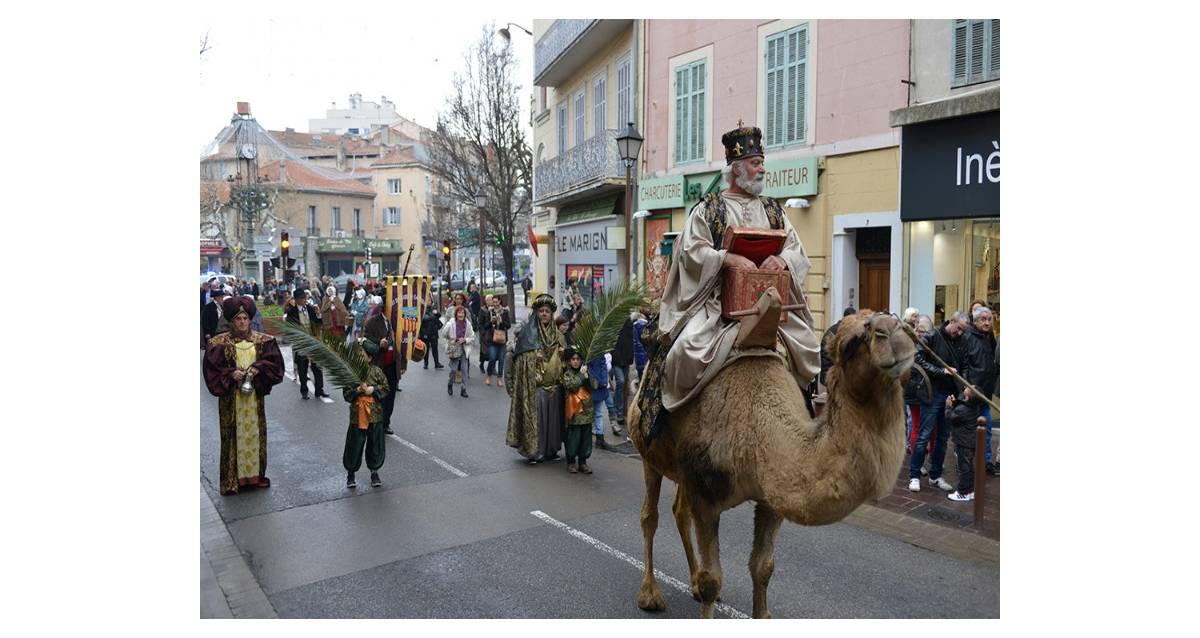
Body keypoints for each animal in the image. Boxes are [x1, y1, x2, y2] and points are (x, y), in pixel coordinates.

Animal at [624, 304, 912, 618]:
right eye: (850, 344)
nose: (898, 333)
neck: (758, 422)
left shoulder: (771, 497)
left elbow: (763, 567)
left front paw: (759, 610)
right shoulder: (707, 495)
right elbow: (713, 580)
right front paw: (704, 589)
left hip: (683, 470)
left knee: (679, 512)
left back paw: (692, 584)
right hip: (650, 455)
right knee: (649, 516)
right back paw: (650, 595)